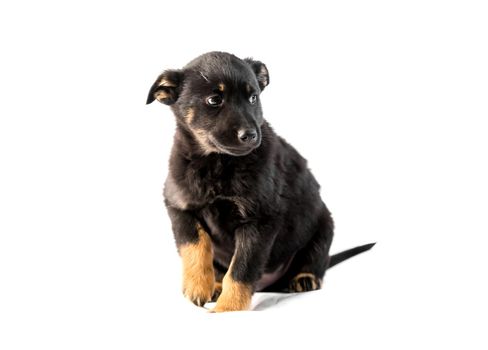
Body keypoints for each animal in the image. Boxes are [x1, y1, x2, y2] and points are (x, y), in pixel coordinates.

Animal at [145, 51, 374, 312]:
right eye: (214, 100)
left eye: (253, 97)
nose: (251, 135)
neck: (218, 162)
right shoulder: (179, 206)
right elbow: (195, 246)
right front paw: (199, 286)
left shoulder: (260, 219)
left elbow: (241, 269)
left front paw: (228, 308)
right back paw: (216, 285)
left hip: (324, 225)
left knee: (315, 258)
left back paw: (305, 278)